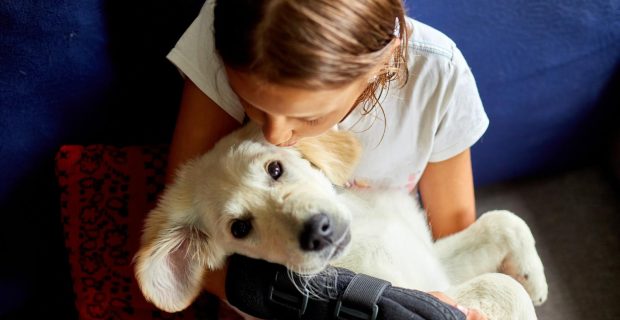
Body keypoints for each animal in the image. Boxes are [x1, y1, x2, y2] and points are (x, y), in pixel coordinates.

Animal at [134, 122, 548, 318]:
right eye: (240, 229)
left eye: (274, 168)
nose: (318, 232)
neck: (365, 231)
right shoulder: (431, 292)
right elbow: (502, 287)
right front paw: (523, 288)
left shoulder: (433, 264)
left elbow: (504, 219)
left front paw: (533, 279)